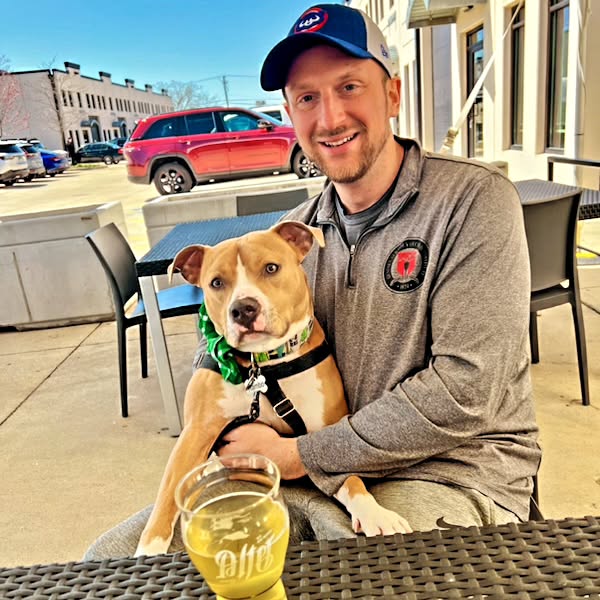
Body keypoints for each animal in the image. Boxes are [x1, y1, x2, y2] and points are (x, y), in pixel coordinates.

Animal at [135, 220, 408, 556]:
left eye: (271, 268)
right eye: (216, 283)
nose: (243, 309)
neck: (263, 365)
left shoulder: (325, 431)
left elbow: (350, 478)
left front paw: (375, 514)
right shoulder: (196, 432)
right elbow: (167, 497)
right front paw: (148, 551)